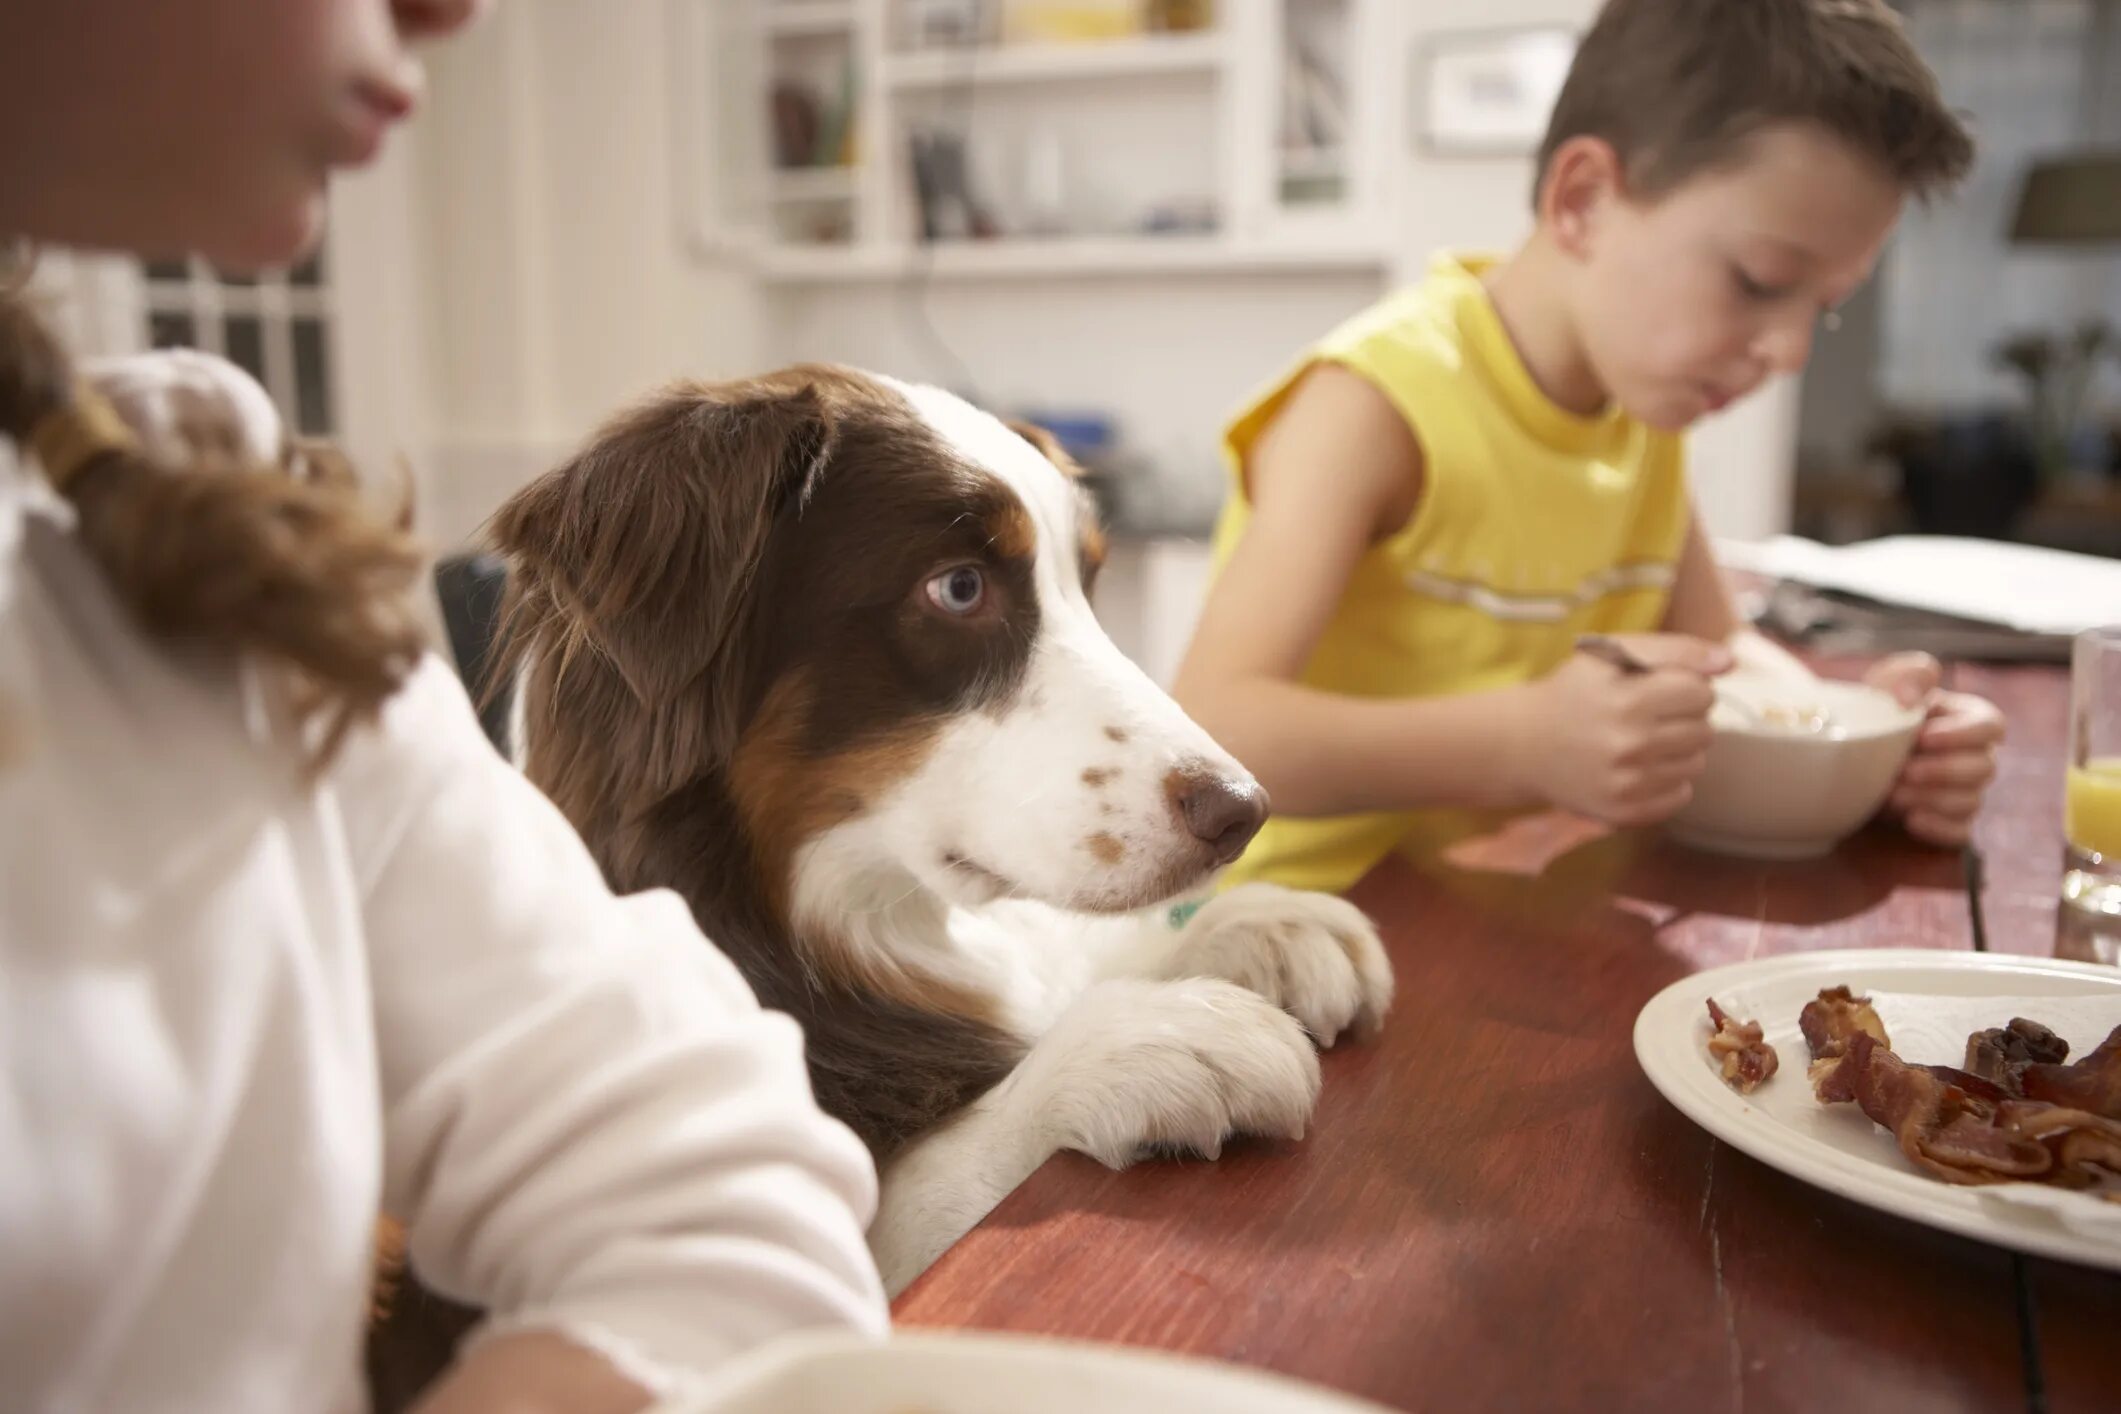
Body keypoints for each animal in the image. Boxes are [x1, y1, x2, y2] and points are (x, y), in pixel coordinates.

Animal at [487, 368, 1399, 1297]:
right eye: (958, 588)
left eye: (1087, 585)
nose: (1241, 812)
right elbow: (921, 1178)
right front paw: (1149, 1040)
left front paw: (1259, 923)